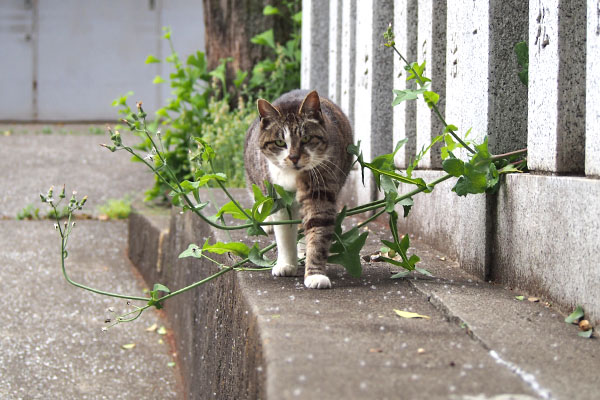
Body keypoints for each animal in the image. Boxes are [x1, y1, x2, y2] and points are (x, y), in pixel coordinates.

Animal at [244, 89, 354, 290]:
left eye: (306, 138)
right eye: (280, 143)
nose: (294, 157)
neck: (293, 176)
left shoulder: (320, 190)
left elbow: (317, 231)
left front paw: (315, 274)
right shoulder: (279, 199)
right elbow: (284, 235)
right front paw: (286, 265)